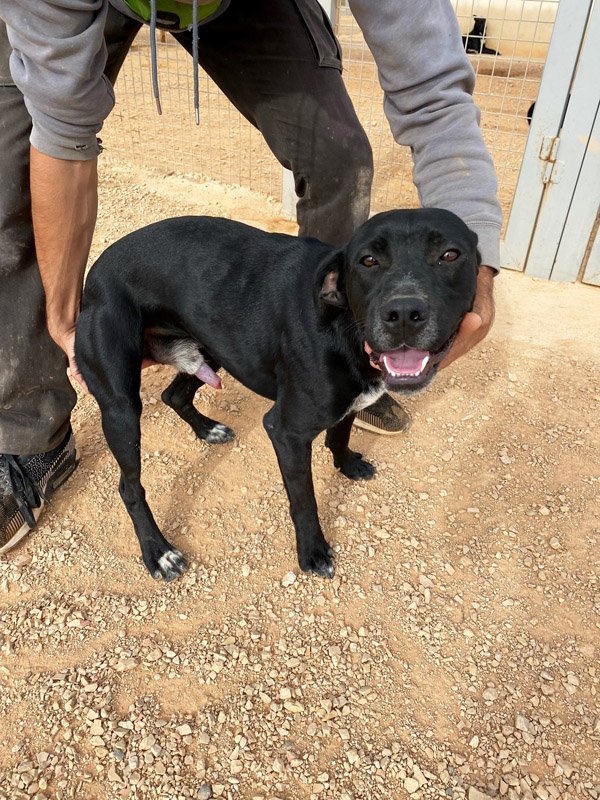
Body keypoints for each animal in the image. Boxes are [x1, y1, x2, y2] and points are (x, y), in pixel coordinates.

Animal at [75, 209, 480, 581]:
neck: (344, 323)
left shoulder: (348, 400)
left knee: (174, 394)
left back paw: (207, 430)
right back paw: (158, 552)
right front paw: (312, 551)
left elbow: (341, 432)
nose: (405, 312)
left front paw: (347, 464)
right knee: (129, 486)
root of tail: (94, 272)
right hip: (121, 409)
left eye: (450, 254)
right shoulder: (286, 431)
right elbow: (304, 499)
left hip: (213, 346)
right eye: (368, 261)